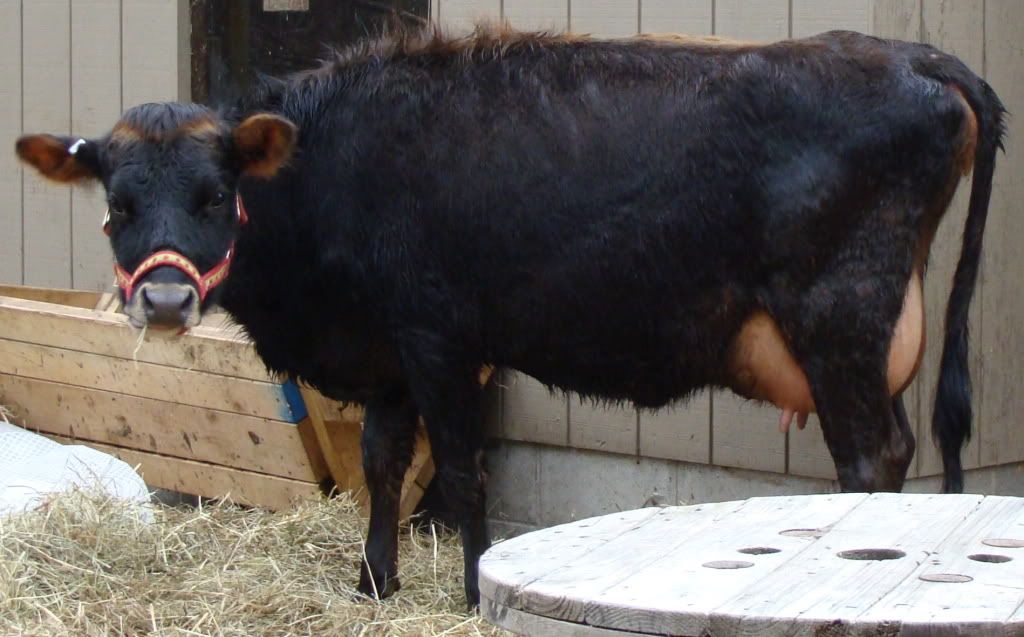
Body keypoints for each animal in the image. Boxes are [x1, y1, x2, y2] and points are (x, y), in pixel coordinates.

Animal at [15, 24, 1005, 606]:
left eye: (216, 194)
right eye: (118, 203)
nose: (165, 298)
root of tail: (910, 53)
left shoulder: (440, 337)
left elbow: (459, 471)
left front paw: (466, 591)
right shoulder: (386, 352)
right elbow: (382, 461)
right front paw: (374, 581)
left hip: (840, 314)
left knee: (871, 456)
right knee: (896, 447)